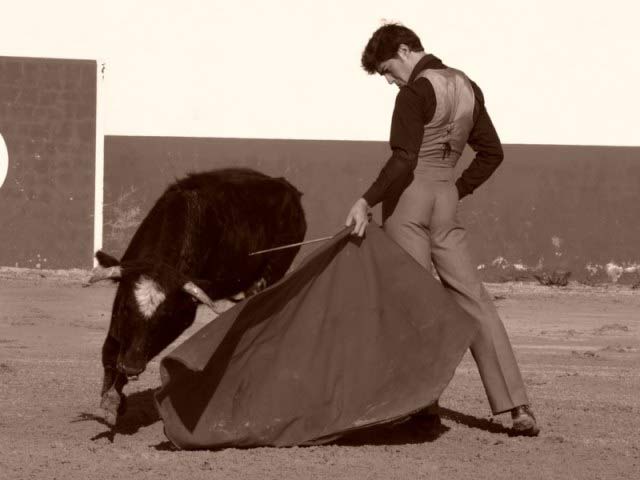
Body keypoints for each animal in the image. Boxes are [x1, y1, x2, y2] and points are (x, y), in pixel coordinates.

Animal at [90, 168, 308, 424]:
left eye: (164, 317)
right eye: (126, 308)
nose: (132, 367)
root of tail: (290, 190)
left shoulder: (182, 315)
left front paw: (114, 397)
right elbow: (110, 347)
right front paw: (110, 398)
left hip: (274, 269)